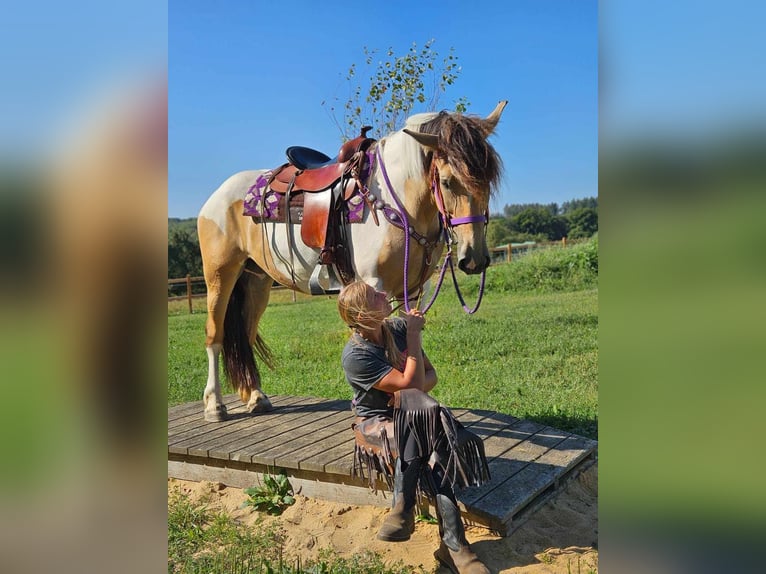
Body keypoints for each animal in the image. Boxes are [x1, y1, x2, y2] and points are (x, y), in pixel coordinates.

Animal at [198, 101, 508, 420]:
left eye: (489, 180)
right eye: (446, 182)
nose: (474, 259)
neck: (400, 202)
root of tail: (217, 197)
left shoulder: (412, 290)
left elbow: (407, 338)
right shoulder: (374, 284)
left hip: (257, 282)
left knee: (245, 337)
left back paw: (256, 396)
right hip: (220, 276)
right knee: (214, 335)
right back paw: (215, 405)